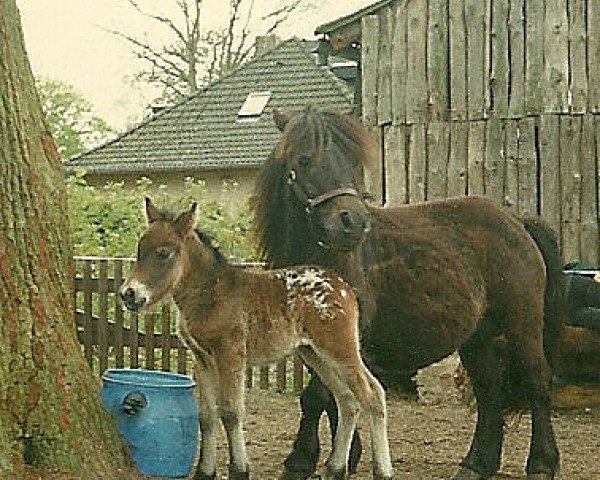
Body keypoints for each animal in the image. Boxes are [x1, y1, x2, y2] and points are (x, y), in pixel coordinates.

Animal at [120, 198, 396, 480]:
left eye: (163, 253)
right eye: (139, 250)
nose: (129, 294)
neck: (212, 294)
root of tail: (344, 287)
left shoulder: (230, 353)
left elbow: (231, 412)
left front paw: (239, 470)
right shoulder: (202, 358)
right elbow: (206, 416)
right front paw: (205, 472)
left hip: (339, 348)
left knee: (372, 394)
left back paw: (382, 470)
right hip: (314, 354)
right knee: (347, 400)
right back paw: (335, 468)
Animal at [252, 107, 564, 478]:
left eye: (354, 161)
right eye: (304, 159)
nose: (353, 223)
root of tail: (518, 222)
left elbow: (320, 398)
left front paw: (303, 461)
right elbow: (334, 397)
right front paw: (346, 455)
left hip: (523, 323)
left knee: (536, 379)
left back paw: (541, 463)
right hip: (478, 336)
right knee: (489, 393)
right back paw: (476, 464)